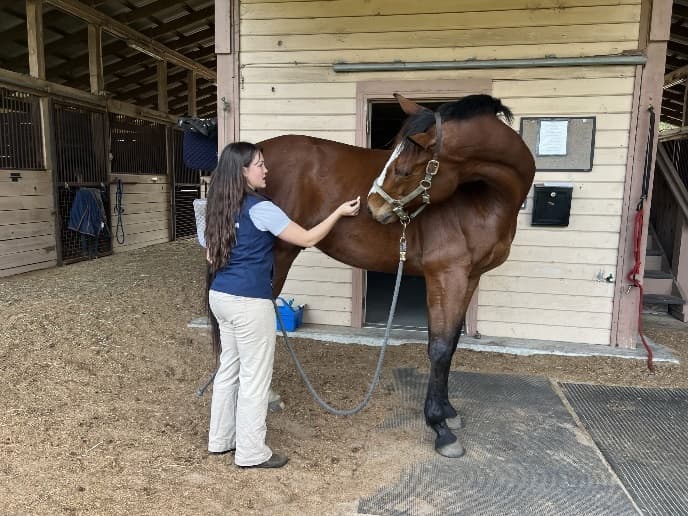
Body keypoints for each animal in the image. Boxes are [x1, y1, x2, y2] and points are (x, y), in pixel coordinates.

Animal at [261, 94, 535, 458]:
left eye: (404, 169)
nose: (372, 207)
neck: (483, 199)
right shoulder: (446, 276)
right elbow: (439, 348)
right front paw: (440, 427)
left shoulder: (468, 278)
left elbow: (451, 343)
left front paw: (448, 411)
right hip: (276, 256)